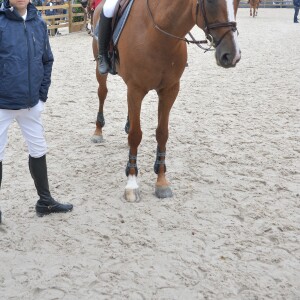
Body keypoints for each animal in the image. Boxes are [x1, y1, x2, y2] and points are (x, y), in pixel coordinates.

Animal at [91, 0, 241, 203]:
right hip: (101, 72)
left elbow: (162, 134)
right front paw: (132, 183)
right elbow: (136, 135)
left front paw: (161, 182)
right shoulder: (136, 89)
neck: (159, 35)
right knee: (102, 93)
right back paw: (98, 131)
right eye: (210, 2)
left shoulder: (169, 91)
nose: (232, 55)